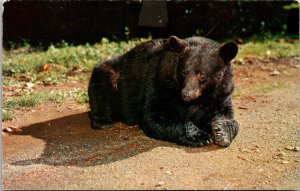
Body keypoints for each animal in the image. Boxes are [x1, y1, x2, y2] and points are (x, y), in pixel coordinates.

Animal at [88, 35, 240, 147]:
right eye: (183, 72)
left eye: (202, 75)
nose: (186, 95)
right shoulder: (160, 82)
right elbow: (155, 115)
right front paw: (199, 136)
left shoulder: (222, 93)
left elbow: (225, 114)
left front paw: (221, 132)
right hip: (112, 74)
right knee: (101, 84)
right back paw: (103, 121)